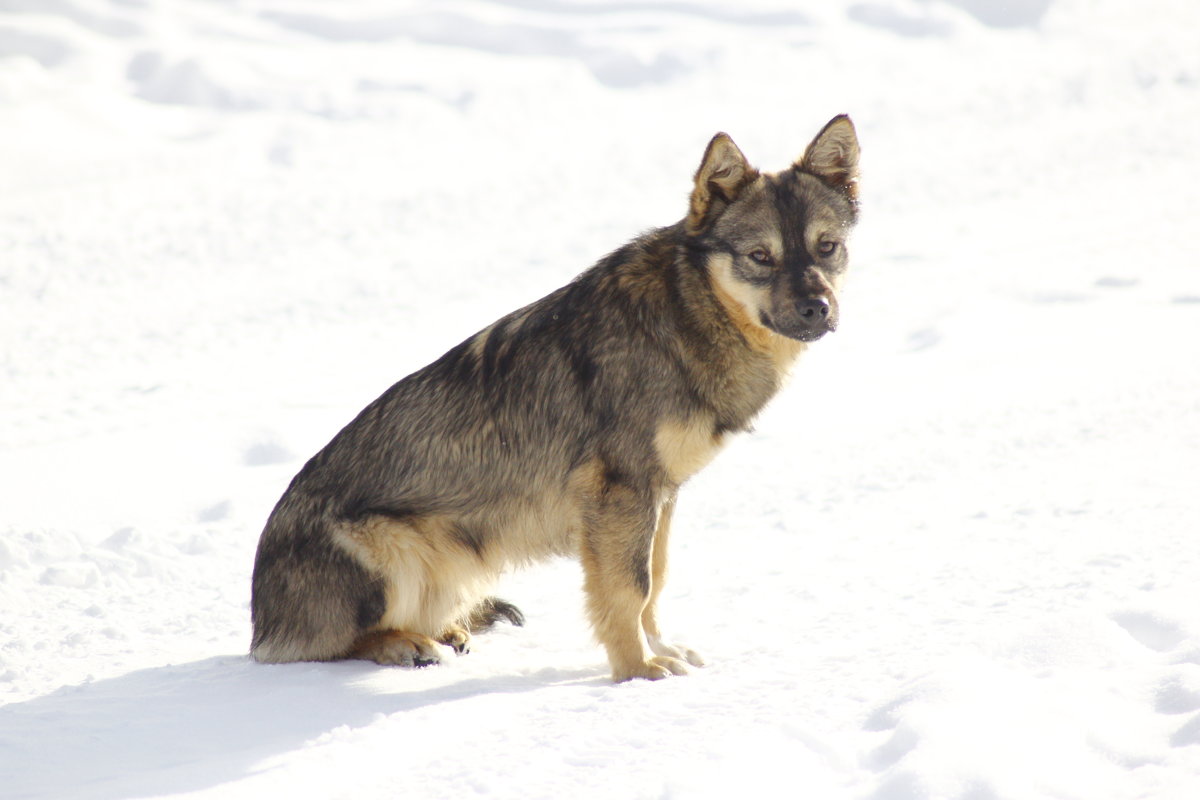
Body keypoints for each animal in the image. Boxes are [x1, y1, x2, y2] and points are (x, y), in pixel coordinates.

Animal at [248, 117, 859, 681]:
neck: (686, 318)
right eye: (761, 256)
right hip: (393, 551)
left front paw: (659, 651)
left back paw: (446, 632)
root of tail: (260, 625)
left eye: (827, 248)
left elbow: (655, 582)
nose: (818, 309)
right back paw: (404, 646)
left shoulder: (661, 495)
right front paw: (638, 671)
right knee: (331, 646)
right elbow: (630, 589)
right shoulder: (621, 493)